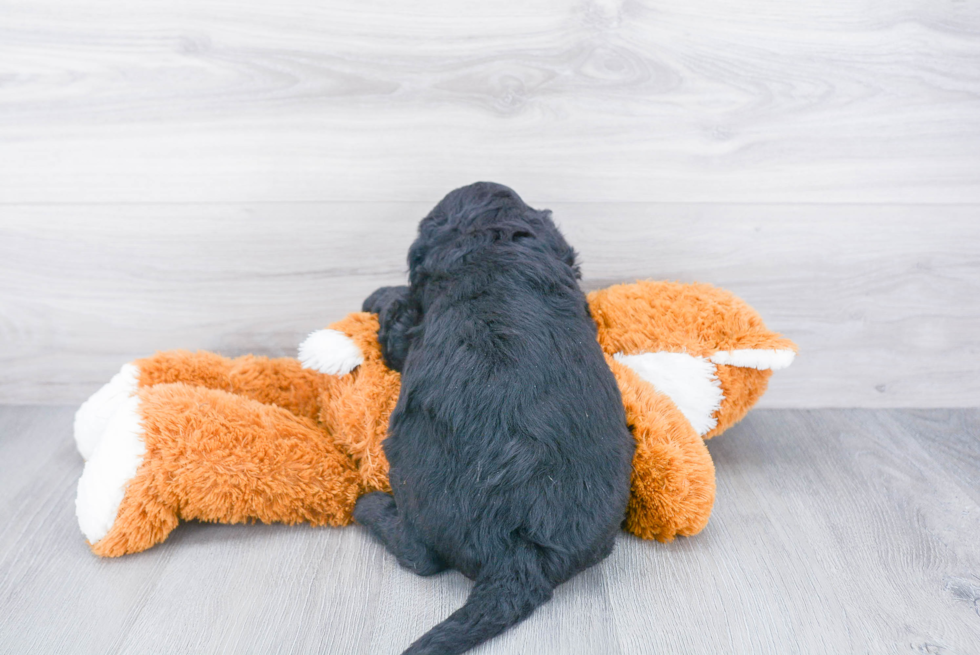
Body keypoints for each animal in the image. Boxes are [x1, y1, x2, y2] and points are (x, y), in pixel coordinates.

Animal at [352, 182, 636, 652]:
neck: (494, 245)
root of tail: (518, 555)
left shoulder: (408, 335)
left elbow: (397, 322)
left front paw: (380, 296)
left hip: (412, 482)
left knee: (420, 555)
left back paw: (367, 506)